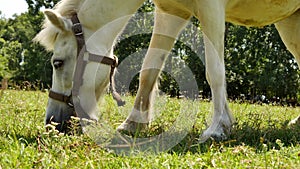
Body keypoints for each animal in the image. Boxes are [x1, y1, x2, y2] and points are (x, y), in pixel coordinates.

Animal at [35, 0, 300, 139]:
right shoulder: (172, 11)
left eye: (57, 62)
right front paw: (134, 123)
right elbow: (148, 70)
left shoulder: (211, 8)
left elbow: (214, 72)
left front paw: (217, 128)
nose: (52, 123)